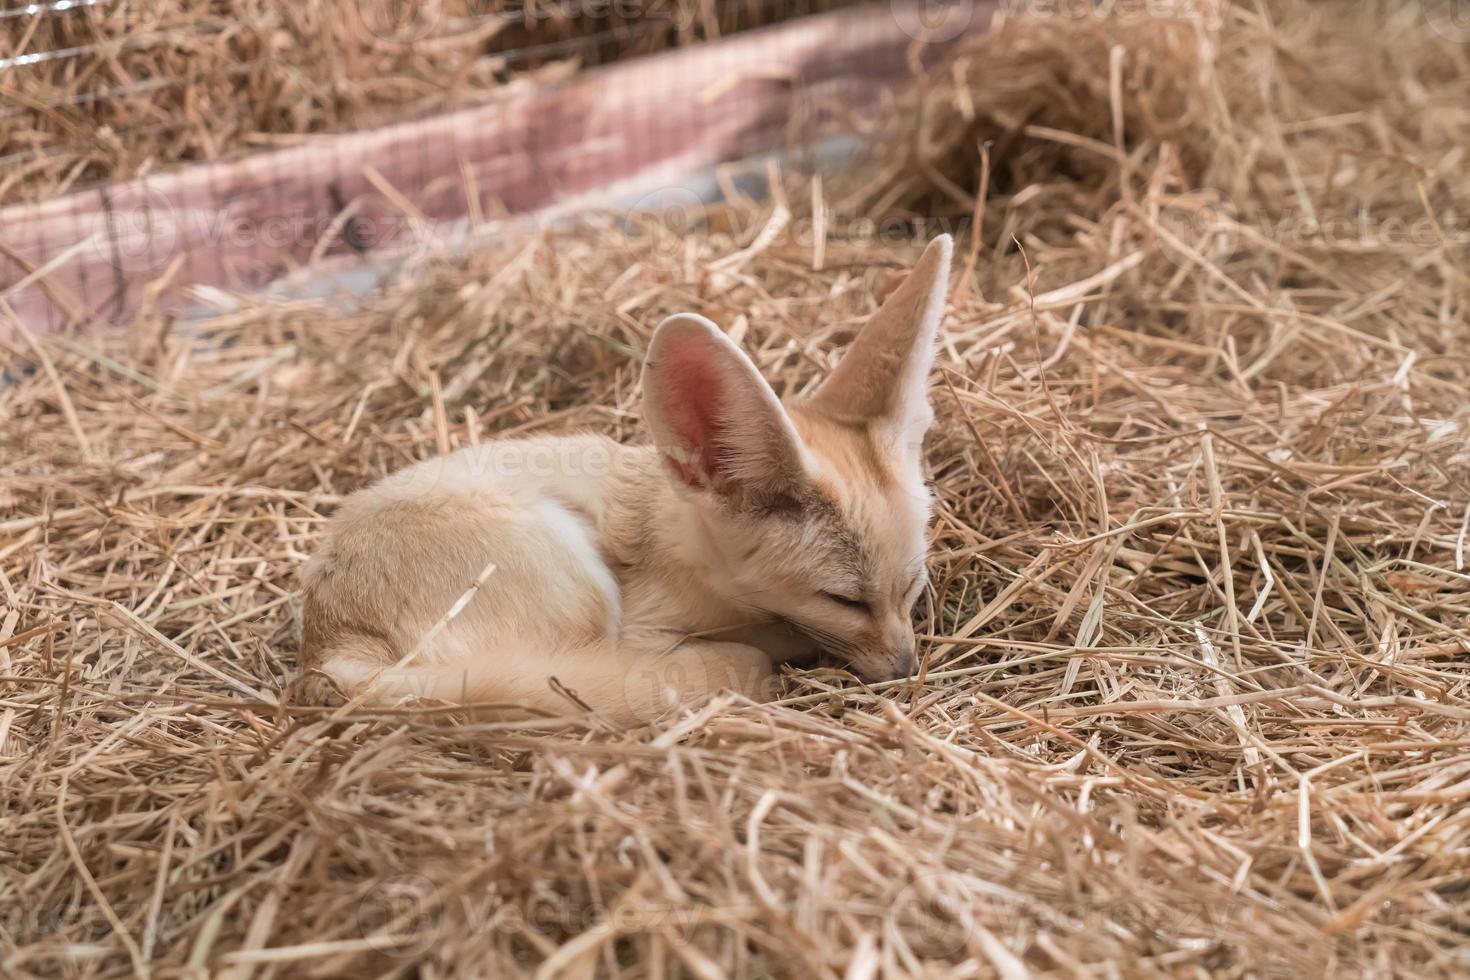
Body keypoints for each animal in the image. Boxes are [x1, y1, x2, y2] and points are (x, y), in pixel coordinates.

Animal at [298, 233, 952, 725]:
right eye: (843, 600)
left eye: (912, 588)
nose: (905, 669)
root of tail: (328, 646)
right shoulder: (647, 630)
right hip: (572, 577)